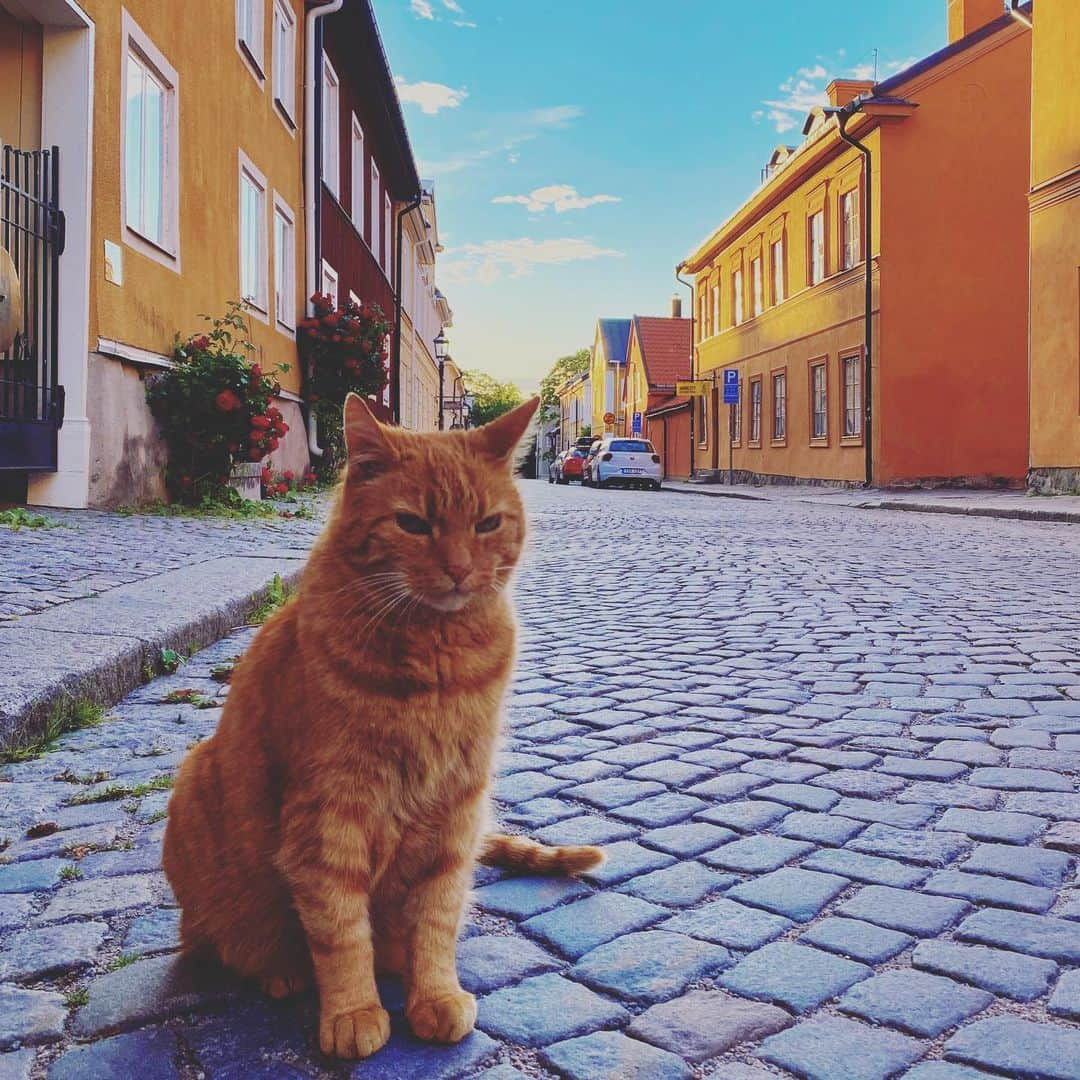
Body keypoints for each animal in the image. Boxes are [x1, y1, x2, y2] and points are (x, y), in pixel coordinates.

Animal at [160, 393, 604, 1058]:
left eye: (486, 524)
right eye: (413, 524)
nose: (458, 570)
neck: (435, 663)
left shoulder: (458, 807)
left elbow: (438, 916)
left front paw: (434, 993)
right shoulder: (330, 812)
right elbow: (340, 928)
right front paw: (353, 1011)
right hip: (197, 789)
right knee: (224, 938)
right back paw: (279, 969)